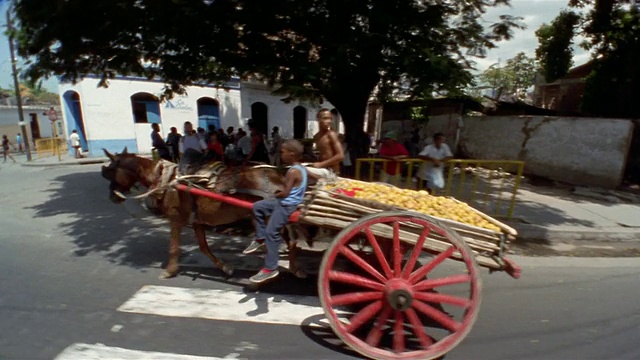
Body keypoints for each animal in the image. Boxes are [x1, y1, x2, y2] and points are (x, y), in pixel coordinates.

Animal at [100, 148, 304, 280]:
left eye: (110, 171)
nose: (111, 196)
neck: (165, 180)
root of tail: (279, 179)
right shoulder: (197, 222)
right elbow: (204, 247)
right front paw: (225, 267)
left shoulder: (175, 219)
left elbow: (174, 247)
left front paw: (169, 271)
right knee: (290, 242)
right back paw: (294, 268)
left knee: (283, 242)